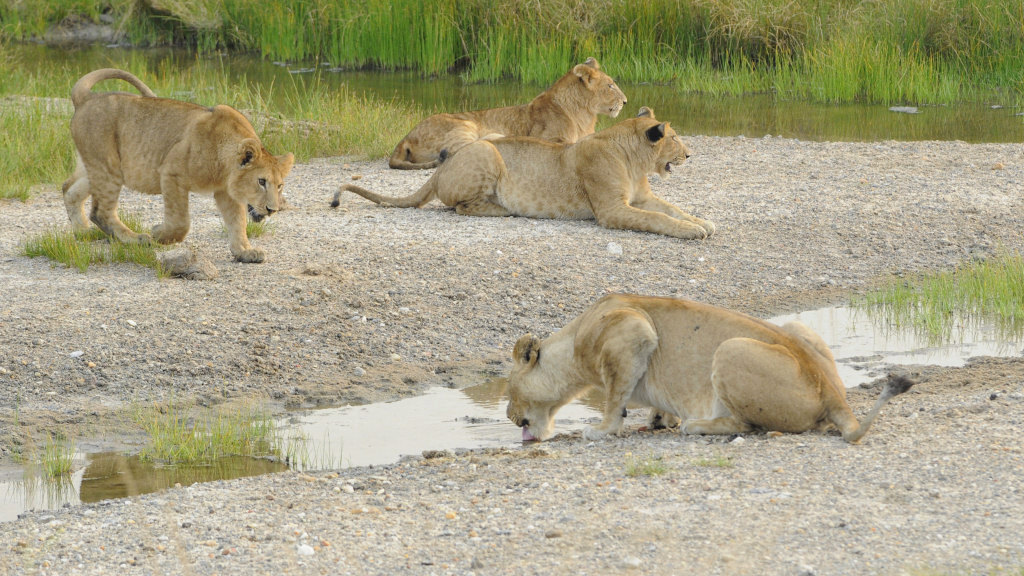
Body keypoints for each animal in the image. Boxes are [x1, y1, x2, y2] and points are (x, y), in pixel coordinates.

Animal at [62, 68, 294, 263]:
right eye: (261, 181)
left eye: (280, 185)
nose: (273, 210)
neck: (224, 166)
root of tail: (86, 97)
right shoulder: (171, 173)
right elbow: (181, 222)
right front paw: (159, 233)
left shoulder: (225, 192)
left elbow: (237, 221)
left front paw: (245, 251)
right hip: (109, 167)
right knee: (100, 211)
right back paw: (136, 239)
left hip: (95, 166)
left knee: (69, 189)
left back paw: (82, 232)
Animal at [333, 107, 715, 240]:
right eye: (675, 138)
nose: (689, 154)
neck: (635, 163)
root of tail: (440, 170)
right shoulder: (611, 210)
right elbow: (658, 219)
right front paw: (692, 231)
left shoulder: (643, 197)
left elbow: (673, 209)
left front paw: (703, 222)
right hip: (486, 149)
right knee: (461, 206)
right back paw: (503, 209)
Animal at [388, 57, 627, 170]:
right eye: (610, 86)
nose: (625, 102)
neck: (584, 113)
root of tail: (406, 137)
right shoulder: (547, 137)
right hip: (465, 124)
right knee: (457, 151)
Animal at [506, 294, 914, 443]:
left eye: (509, 389)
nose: (509, 414)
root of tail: (831, 392)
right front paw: (659, 420)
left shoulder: (632, 331)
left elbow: (614, 396)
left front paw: (601, 429)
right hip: (797, 328)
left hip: (730, 349)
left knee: (746, 426)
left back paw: (696, 424)